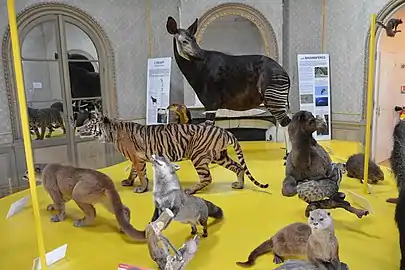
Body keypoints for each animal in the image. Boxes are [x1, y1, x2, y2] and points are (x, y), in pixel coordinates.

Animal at [77, 108, 266, 195]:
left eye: (88, 124)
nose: (77, 129)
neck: (111, 131)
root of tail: (224, 130)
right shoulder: (135, 158)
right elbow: (133, 171)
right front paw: (129, 182)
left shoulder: (137, 158)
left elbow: (141, 173)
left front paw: (141, 188)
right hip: (220, 156)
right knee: (238, 167)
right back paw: (239, 185)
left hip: (199, 157)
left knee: (207, 177)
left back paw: (190, 190)